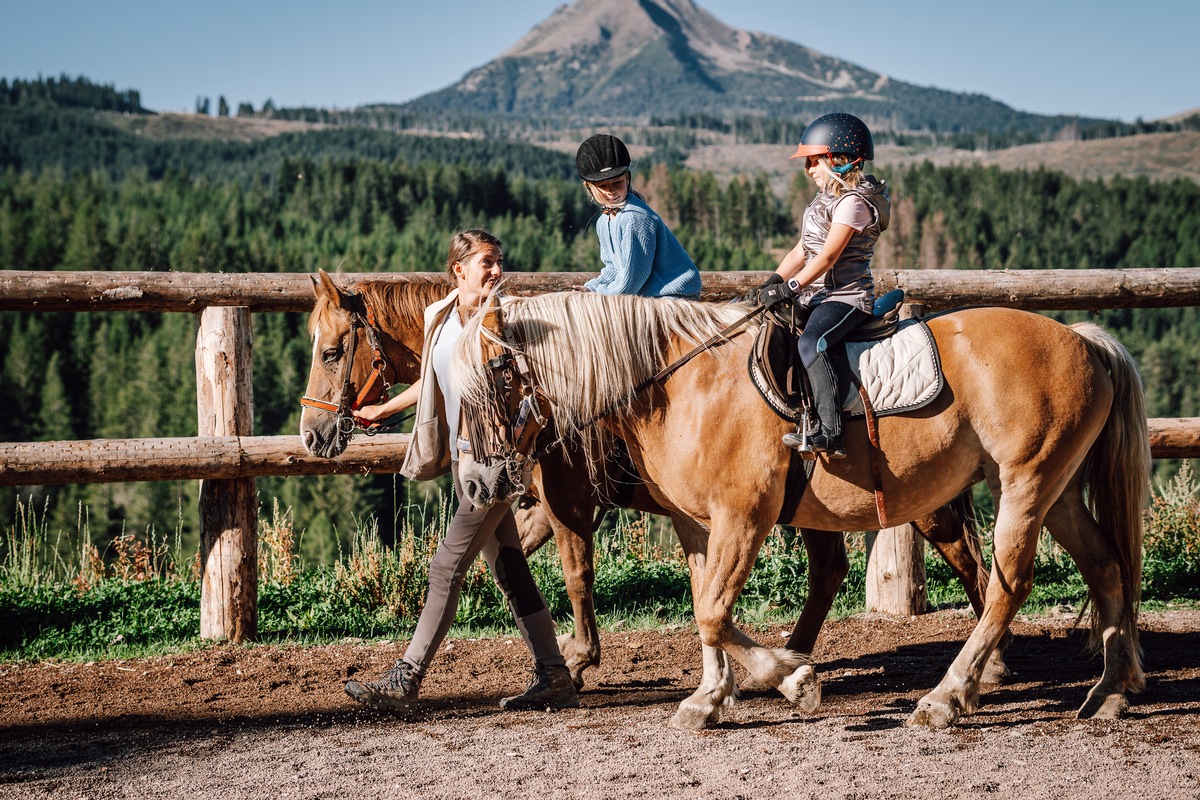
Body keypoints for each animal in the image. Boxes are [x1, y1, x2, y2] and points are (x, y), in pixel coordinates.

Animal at [297, 268, 1003, 690]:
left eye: (332, 350)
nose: (313, 433)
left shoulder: (568, 498)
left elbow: (576, 572)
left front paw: (578, 659)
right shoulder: (539, 502)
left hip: (918, 498)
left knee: (970, 561)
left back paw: (985, 667)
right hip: (811, 503)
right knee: (832, 569)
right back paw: (790, 660)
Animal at [453, 291, 1147, 729]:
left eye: (493, 372)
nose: (478, 481)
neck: (680, 386)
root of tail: (1082, 341)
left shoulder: (740, 517)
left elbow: (707, 609)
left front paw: (789, 677)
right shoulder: (700, 522)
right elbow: (706, 606)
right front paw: (711, 697)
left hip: (1023, 483)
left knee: (1006, 584)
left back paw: (948, 696)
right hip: (1056, 491)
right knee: (1105, 567)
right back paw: (1109, 691)